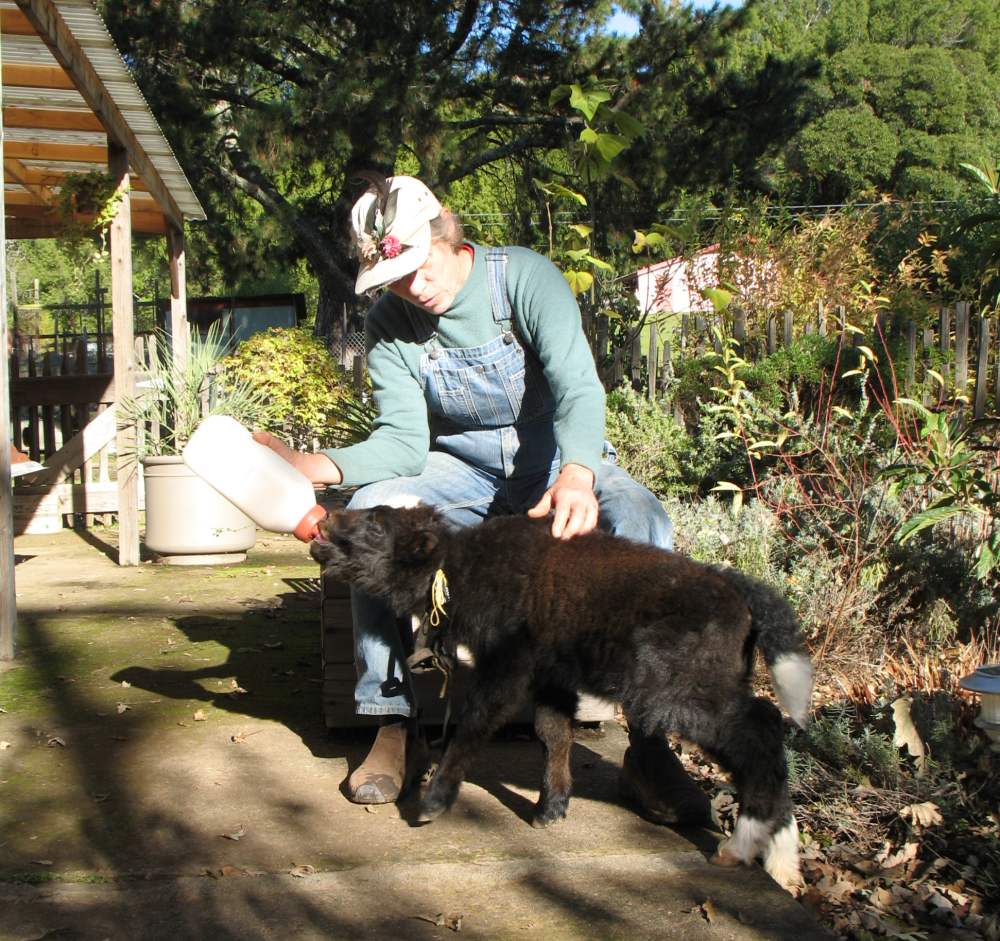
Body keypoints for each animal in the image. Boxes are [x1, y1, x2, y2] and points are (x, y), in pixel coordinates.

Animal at [310, 504, 813, 891]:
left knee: (760, 736)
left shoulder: (506, 668)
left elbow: (474, 724)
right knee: (767, 734)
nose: (326, 521)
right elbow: (553, 733)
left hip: (683, 694)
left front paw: (435, 801)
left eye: (377, 525)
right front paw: (551, 809)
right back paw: (782, 858)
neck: (459, 566)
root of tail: (739, 590)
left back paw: (742, 846)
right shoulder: (551, 677)